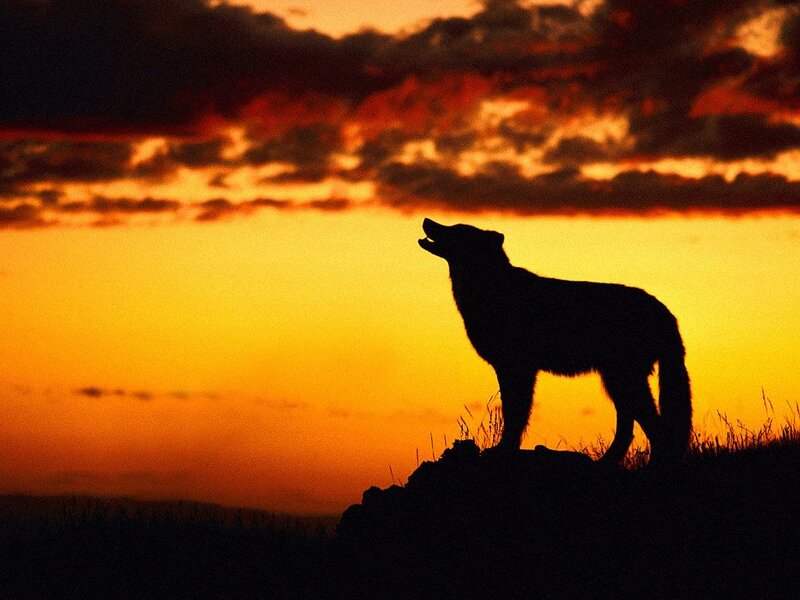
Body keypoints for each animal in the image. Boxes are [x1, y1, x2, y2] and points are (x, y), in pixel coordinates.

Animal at [419, 218, 692, 464]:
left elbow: (515, 413)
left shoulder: (516, 368)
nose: (426, 220)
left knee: (655, 428)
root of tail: (666, 312)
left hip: (623, 380)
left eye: (457, 230)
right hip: (617, 381)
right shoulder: (516, 369)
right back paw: (606, 462)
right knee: (632, 427)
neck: (490, 290)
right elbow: (515, 413)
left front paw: (503, 450)